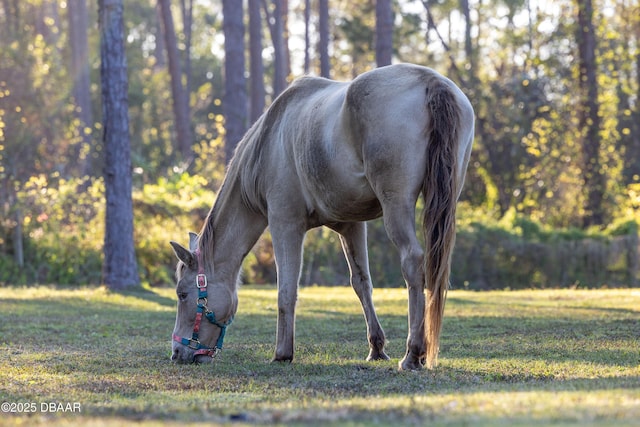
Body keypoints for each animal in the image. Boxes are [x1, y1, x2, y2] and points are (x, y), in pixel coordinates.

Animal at [170, 63, 476, 372]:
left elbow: (286, 291)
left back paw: (413, 353)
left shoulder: (285, 224)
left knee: (412, 262)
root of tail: (431, 81)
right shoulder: (351, 225)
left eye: (182, 294)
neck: (269, 140)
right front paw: (376, 348)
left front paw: (282, 353)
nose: (177, 353)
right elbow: (361, 282)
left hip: (397, 205)